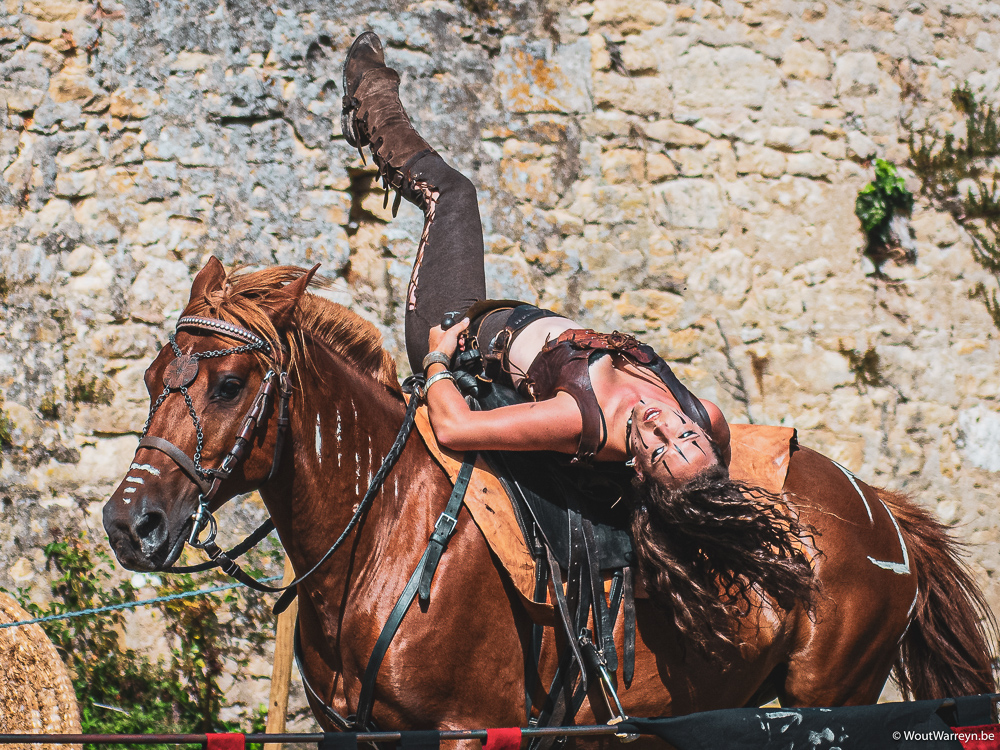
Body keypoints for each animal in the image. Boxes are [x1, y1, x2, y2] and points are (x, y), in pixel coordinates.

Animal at [101, 262, 992, 744]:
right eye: (150, 378)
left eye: (226, 384)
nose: (128, 522)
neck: (386, 528)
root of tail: (880, 513)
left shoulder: (466, 727)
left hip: (831, 698)